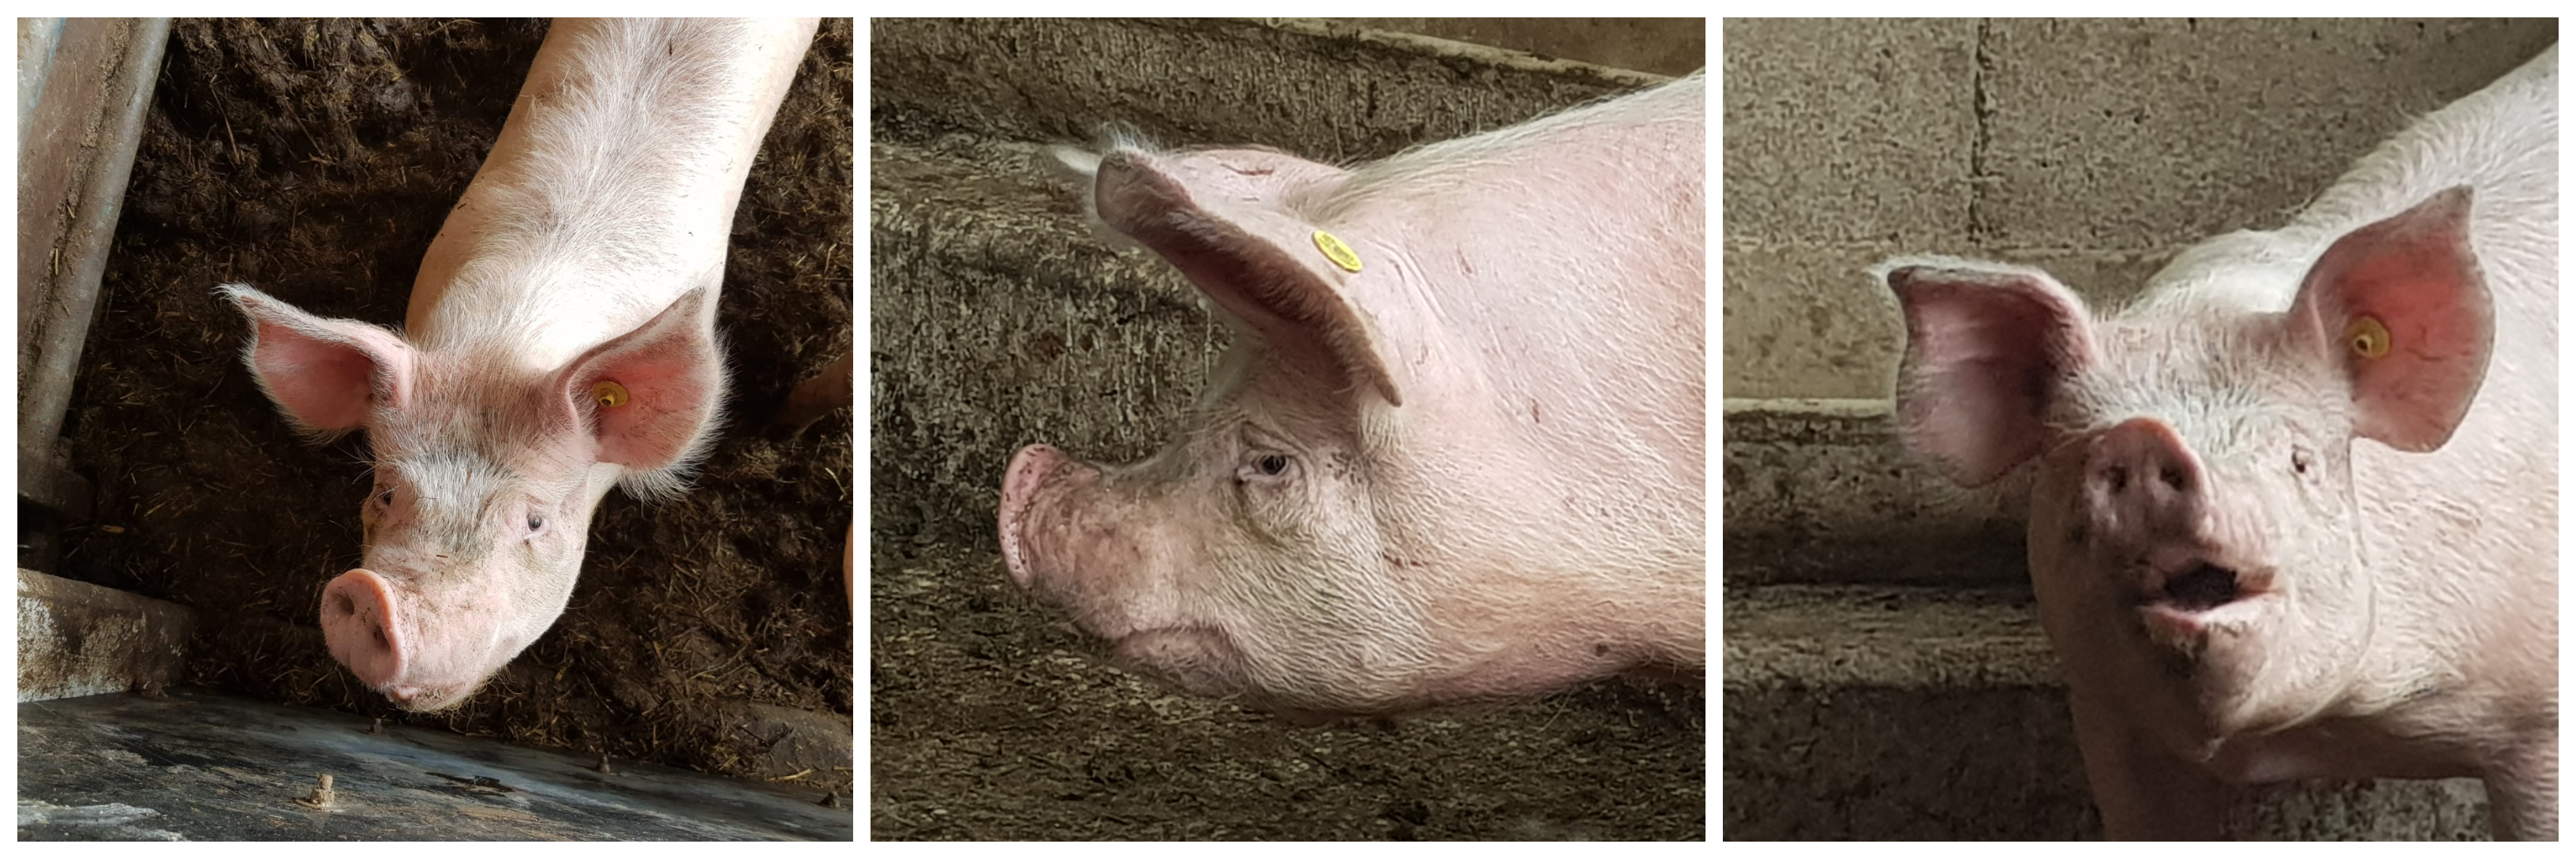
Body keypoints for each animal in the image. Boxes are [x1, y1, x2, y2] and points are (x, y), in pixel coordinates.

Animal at [1875, 48, 2555, 835]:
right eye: (2077, 459)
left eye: (2299, 460)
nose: (2146, 441)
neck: (2320, 733)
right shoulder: (2108, 716)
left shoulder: (2539, 717)